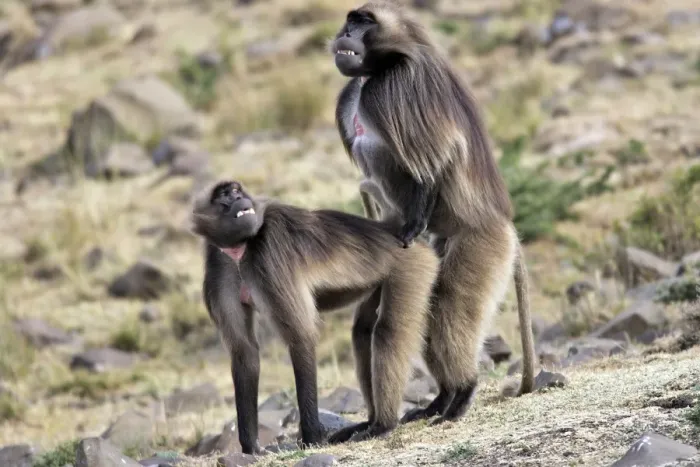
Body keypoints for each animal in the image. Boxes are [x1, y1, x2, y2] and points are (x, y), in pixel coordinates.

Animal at [190, 179, 440, 453]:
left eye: (236, 191)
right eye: (225, 195)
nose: (238, 199)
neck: (240, 249)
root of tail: (393, 232)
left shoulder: (270, 256)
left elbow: (301, 337)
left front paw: (311, 437)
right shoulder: (219, 267)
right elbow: (244, 350)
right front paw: (251, 448)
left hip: (411, 265)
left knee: (388, 332)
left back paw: (384, 425)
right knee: (362, 334)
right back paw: (371, 421)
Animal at [328, 2, 536, 438]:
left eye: (363, 22)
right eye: (350, 20)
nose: (345, 35)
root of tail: (506, 224)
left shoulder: (390, 89)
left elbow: (434, 158)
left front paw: (407, 224)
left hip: (481, 245)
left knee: (448, 309)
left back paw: (462, 393)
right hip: (443, 243)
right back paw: (437, 399)